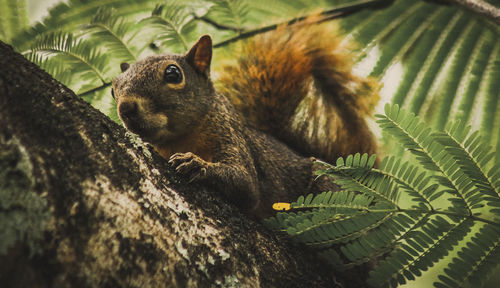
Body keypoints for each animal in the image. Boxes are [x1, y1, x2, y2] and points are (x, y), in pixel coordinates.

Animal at [112, 20, 378, 218]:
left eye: (173, 73)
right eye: (114, 89)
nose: (125, 108)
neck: (179, 139)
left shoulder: (230, 135)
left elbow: (246, 183)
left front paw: (196, 164)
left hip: (327, 185)